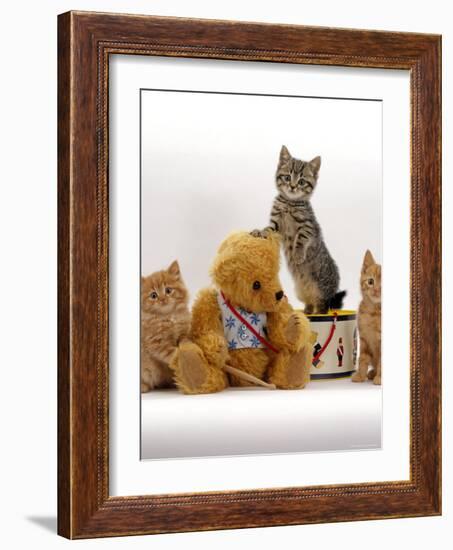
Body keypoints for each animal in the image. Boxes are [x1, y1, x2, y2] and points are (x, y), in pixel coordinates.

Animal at [141, 262, 191, 392]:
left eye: (168, 290)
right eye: (153, 295)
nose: (163, 299)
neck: (169, 317)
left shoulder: (183, 331)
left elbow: (185, 341)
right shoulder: (156, 342)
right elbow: (172, 352)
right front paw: (181, 357)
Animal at [254, 144, 342, 314]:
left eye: (301, 182)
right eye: (287, 177)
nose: (293, 187)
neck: (290, 202)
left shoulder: (308, 226)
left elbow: (301, 238)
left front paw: (298, 254)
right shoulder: (276, 224)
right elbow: (268, 230)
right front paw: (259, 232)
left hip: (321, 292)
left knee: (321, 308)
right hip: (302, 292)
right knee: (310, 304)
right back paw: (306, 312)